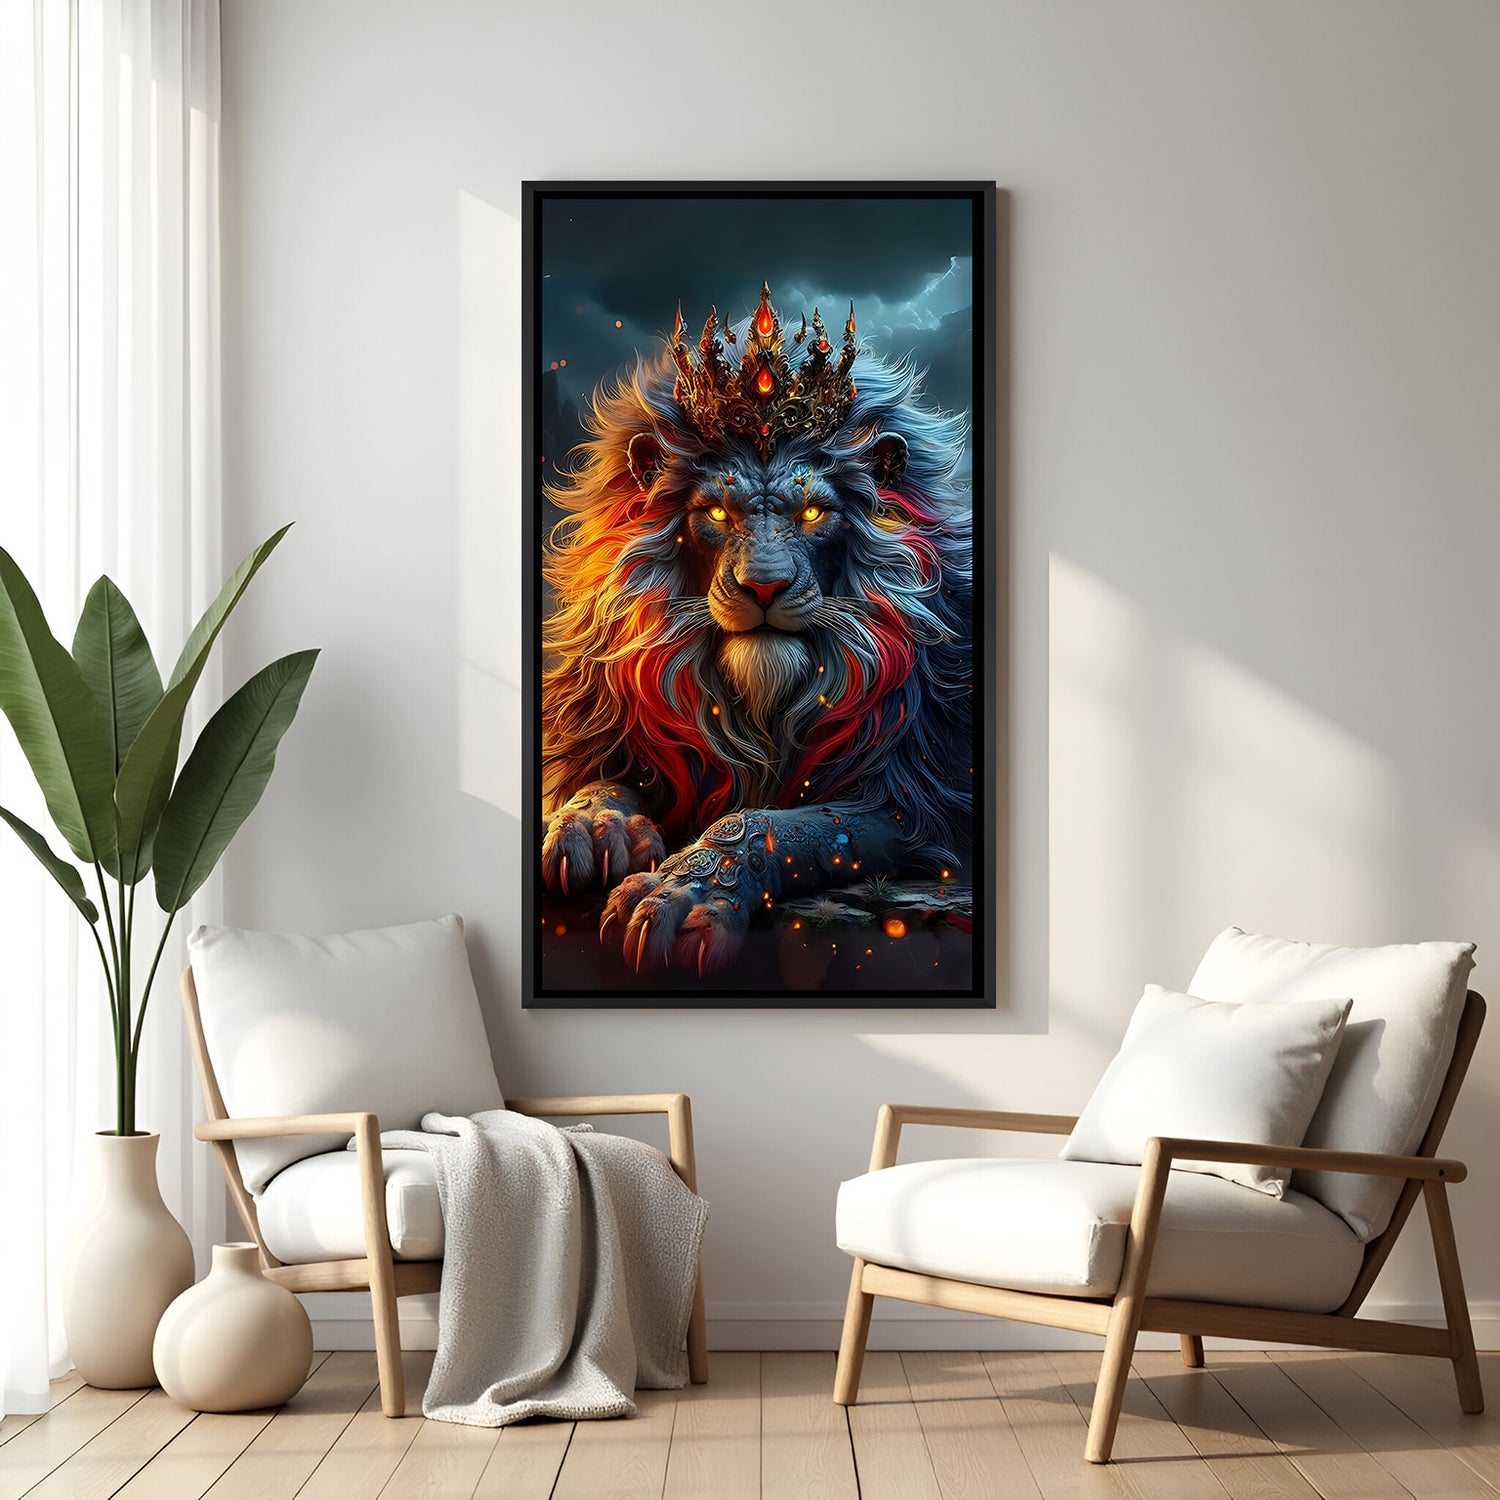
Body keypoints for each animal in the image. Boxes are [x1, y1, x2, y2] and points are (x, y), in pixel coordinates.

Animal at [540, 285, 974, 977]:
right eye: (716, 513)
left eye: (815, 512)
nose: (764, 588)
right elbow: (600, 780)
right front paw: (591, 828)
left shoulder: (911, 802)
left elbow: (781, 825)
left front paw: (683, 895)